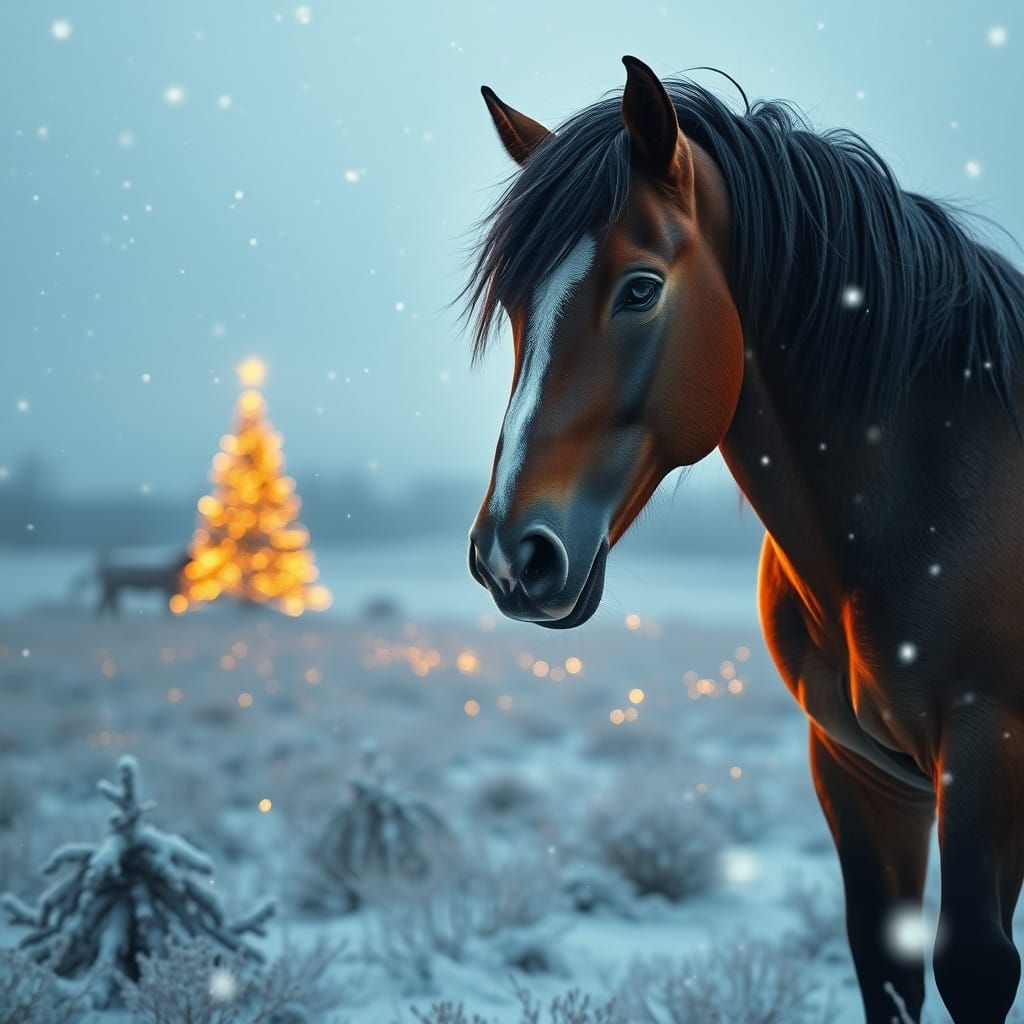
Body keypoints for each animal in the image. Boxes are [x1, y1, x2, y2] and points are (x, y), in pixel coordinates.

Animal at [463, 56, 1024, 1024]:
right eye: (516, 303)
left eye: (641, 287)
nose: (512, 555)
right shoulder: (858, 770)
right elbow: (888, 967)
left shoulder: (992, 754)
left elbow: (979, 969)